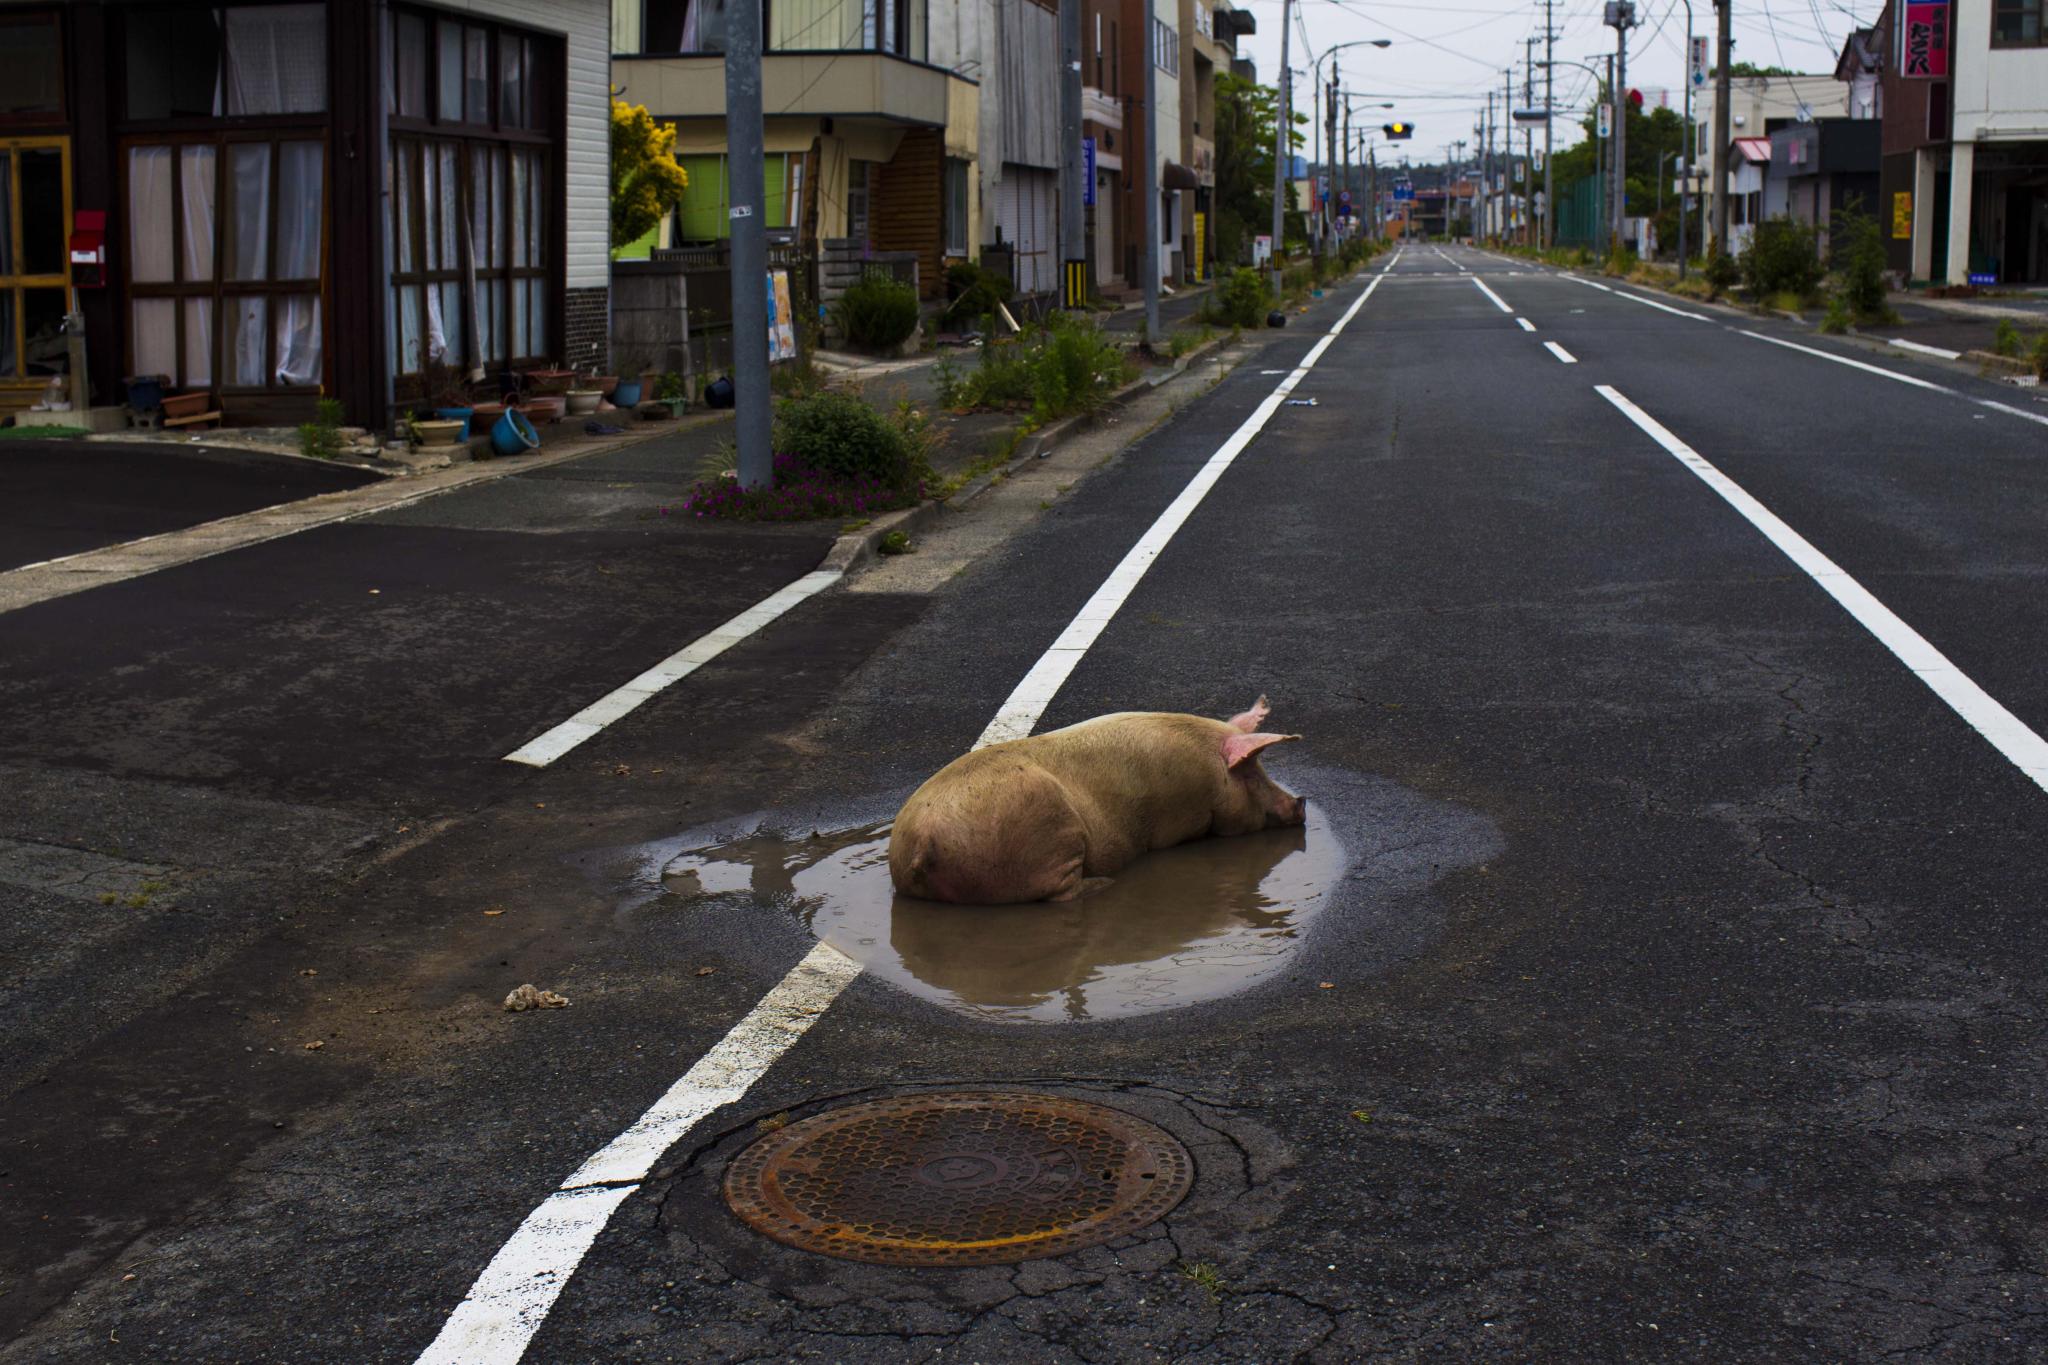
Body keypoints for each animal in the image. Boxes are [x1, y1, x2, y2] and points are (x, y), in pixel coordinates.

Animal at [888, 695, 1302, 908]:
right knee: (1059, 895)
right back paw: (1104, 884)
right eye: (1252, 773)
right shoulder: (1182, 815)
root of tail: (920, 842)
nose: (1300, 803)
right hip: (1051, 839)